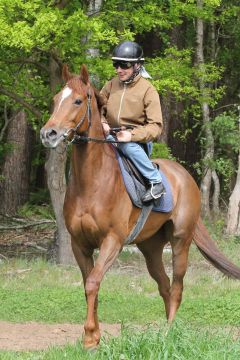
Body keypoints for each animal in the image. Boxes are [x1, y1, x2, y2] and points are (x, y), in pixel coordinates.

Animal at [40, 64, 240, 348]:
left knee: (177, 286)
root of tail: (185, 177)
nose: (49, 134)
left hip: (181, 242)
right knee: (164, 285)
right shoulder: (79, 244)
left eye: (78, 101)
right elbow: (89, 285)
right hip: (151, 248)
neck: (94, 182)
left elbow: (93, 282)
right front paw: (94, 336)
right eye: (57, 99)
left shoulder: (112, 241)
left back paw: (169, 333)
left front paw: (89, 337)